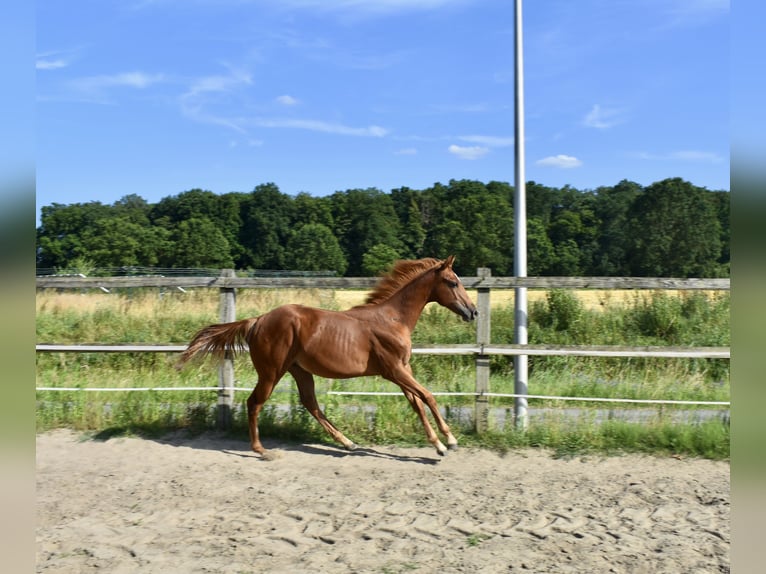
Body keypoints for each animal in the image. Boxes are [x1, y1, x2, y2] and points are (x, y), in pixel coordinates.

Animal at [176, 255, 478, 457]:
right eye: (452, 282)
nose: (473, 312)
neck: (393, 319)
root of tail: (257, 320)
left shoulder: (403, 369)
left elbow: (417, 403)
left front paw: (438, 445)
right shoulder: (394, 370)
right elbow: (428, 396)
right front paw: (449, 441)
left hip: (299, 370)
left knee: (311, 404)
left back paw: (347, 442)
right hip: (271, 372)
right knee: (255, 402)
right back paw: (261, 449)